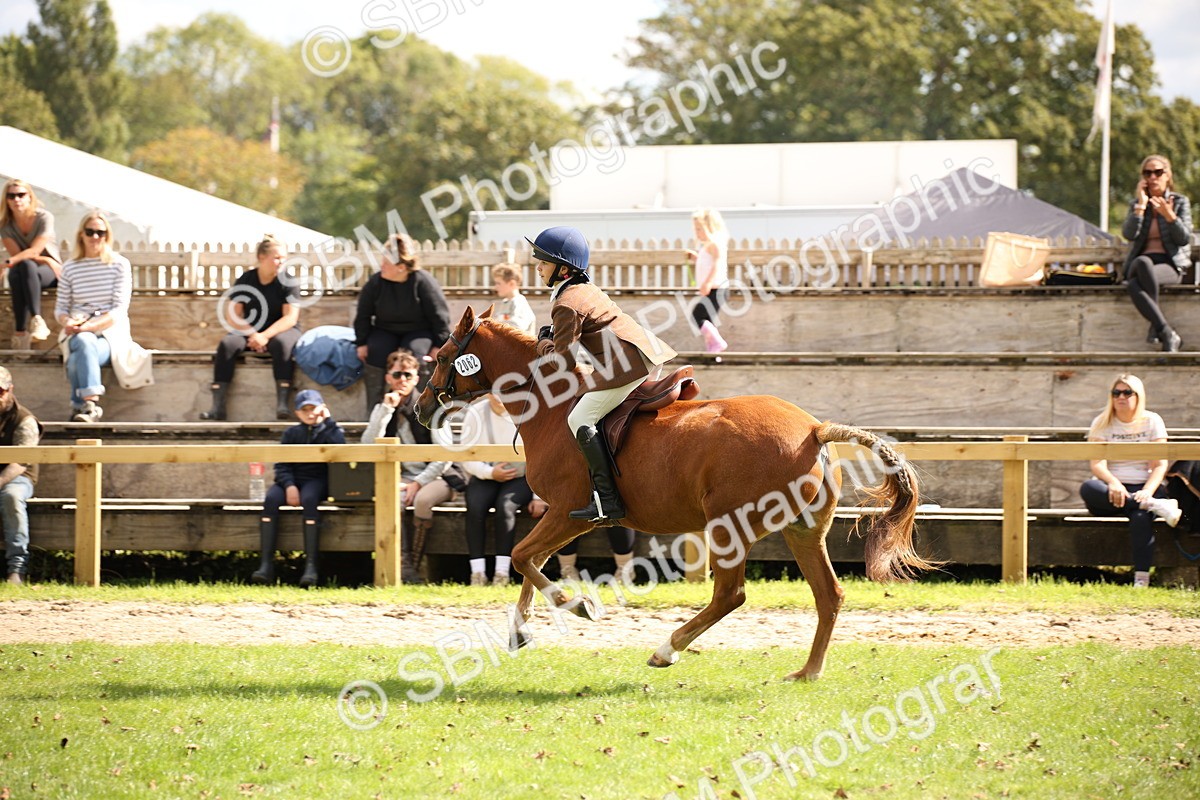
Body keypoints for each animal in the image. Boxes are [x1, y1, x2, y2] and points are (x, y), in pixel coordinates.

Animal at [415, 305, 934, 681]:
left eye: (440, 358)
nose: (420, 410)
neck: (551, 406)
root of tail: (813, 429)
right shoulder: (569, 517)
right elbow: (531, 561)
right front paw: (521, 631)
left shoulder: (565, 511)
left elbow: (524, 556)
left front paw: (578, 605)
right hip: (803, 531)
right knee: (828, 595)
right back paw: (807, 672)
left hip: (728, 526)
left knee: (730, 595)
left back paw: (666, 650)